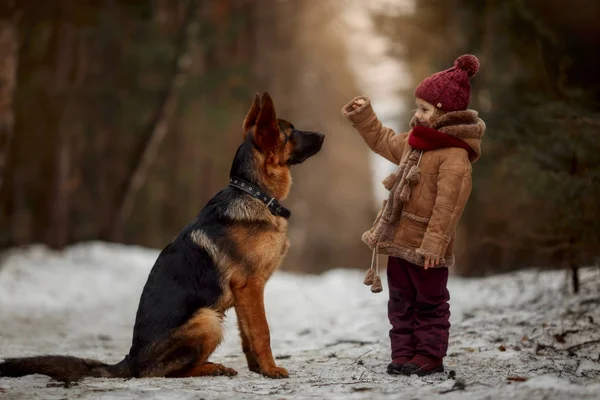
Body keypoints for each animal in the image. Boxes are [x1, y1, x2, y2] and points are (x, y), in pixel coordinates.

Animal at [1, 93, 324, 382]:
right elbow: (262, 331)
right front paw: (271, 370)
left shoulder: (246, 296)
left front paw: (258, 368)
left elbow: (247, 335)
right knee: (163, 373)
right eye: (293, 131)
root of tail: (129, 360)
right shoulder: (250, 287)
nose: (323, 133)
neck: (254, 193)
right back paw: (209, 368)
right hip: (207, 319)